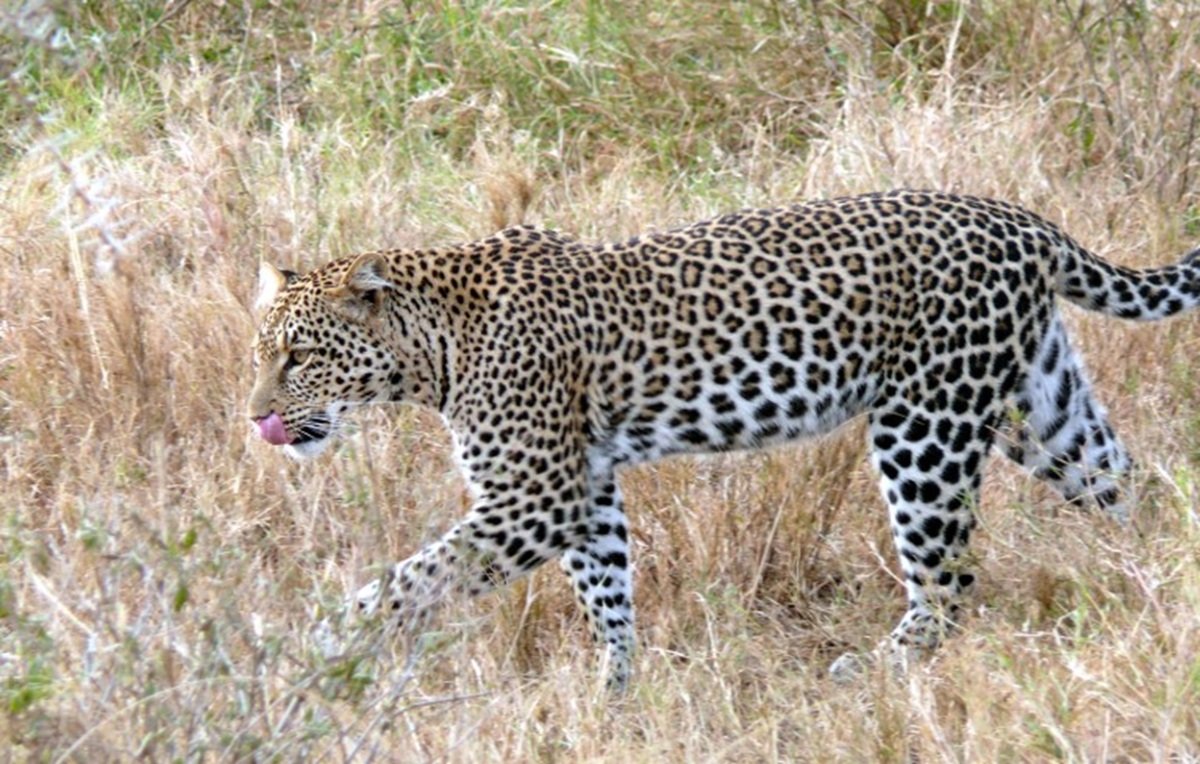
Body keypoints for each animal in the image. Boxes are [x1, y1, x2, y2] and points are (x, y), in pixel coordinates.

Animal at [247, 190, 1200, 690]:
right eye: (263, 354)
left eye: (300, 356)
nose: (256, 418)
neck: (434, 349)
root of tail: (1021, 219)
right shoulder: (583, 490)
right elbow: (607, 593)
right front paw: (615, 695)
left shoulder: (533, 498)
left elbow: (411, 580)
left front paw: (320, 647)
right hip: (1040, 406)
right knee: (1129, 484)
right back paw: (1161, 593)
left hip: (925, 424)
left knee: (948, 579)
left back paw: (869, 671)